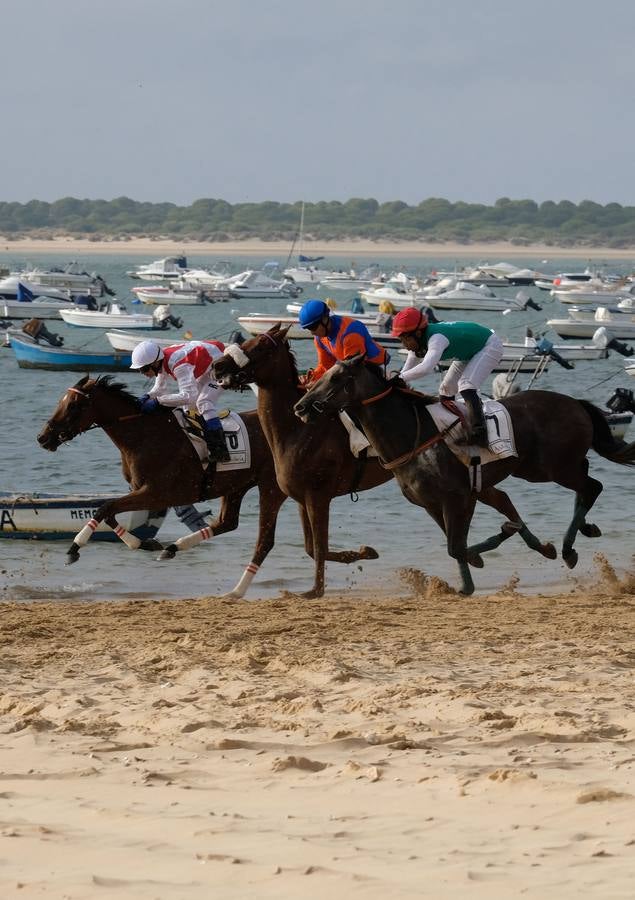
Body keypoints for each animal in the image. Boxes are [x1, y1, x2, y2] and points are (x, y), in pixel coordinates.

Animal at [37, 375, 287, 599]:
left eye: (73, 405)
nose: (43, 437)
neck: (144, 435)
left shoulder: (156, 493)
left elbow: (104, 508)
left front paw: (74, 548)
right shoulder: (142, 491)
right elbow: (109, 512)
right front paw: (144, 543)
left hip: (270, 486)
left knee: (264, 541)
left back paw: (236, 591)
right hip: (237, 485)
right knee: (227, 522)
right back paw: (173, 548)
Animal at [212, 324, 556, 597]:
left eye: (257, 346)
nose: (217, 365)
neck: (298, 430)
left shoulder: (317, 496)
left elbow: (319, 547)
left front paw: (316, 590)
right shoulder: (300, 497)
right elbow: (312, 548)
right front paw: (364, 552)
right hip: (474, 479)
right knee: (502, 498)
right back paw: (533, 547)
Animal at [294, 354, 635, 594]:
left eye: (337, 377)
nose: (301, 407)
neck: (413, 436)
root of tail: (575, 402)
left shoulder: (458, 496)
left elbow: (456, 547)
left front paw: (471, 576)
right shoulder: (433, 502)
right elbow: (457, 544)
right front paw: (491, 550)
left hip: (552, 467)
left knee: (592, 485)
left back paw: (567, 547)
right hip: (534, 468)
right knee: (581, 482)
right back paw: (575, 536)